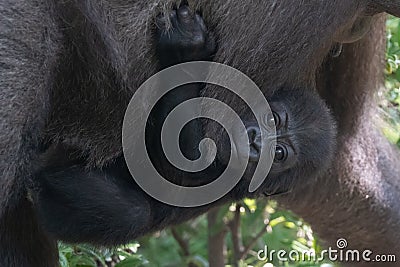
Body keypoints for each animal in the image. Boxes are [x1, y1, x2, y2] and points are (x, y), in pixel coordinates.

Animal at [32, 5, 336, 246]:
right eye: (273, 119)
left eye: (280, 154)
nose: (256, 141)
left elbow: (186, 157)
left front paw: (186, 52)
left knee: (133, 214)